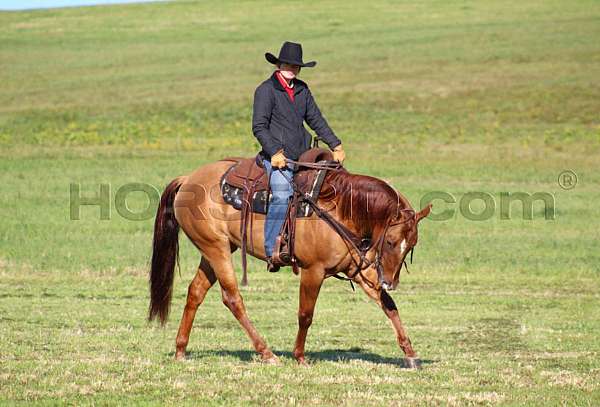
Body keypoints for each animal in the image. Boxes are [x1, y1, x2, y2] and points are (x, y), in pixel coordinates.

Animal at [149, 158, 432, 368]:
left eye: (412, 245)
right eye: (391, 242)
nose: (390, 282)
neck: (341, 208)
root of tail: (188, 178)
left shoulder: (358, 271)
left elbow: (389, 306)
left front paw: (410, 354)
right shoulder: (313, 271)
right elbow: (305, 314)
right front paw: (300, 356)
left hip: (218, 250)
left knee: (196, 292)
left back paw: (181, 349)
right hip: (216, 249)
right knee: (232, 298)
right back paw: (266, 353)